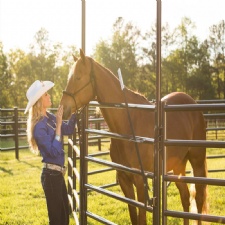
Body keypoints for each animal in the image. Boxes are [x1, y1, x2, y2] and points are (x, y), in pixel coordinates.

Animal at [59, 49, 207, 225]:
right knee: (185, 196)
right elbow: (133, 215)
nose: (63, 108)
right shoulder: (125, 180)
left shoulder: (140, 181)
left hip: (197, 160)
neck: (128, 126)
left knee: (199, 198)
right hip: (178, 164)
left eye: (78, 77)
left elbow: (141, 218)